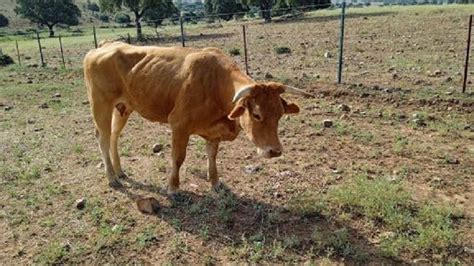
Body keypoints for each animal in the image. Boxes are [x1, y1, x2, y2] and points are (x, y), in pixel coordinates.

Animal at [83, 42, 312, 194]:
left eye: (280, 114)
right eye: (256, 114)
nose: (275, 151)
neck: (215, 83)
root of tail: (103, 46)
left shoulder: (213, 131)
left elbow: (212, 155)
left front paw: (215, 182)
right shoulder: (179, 124)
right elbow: (178, 157)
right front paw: (173, 187)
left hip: (123, 107)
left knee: (114, 136)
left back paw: (119, 171)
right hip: (100, 105)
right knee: (103, 138)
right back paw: (112, 177)